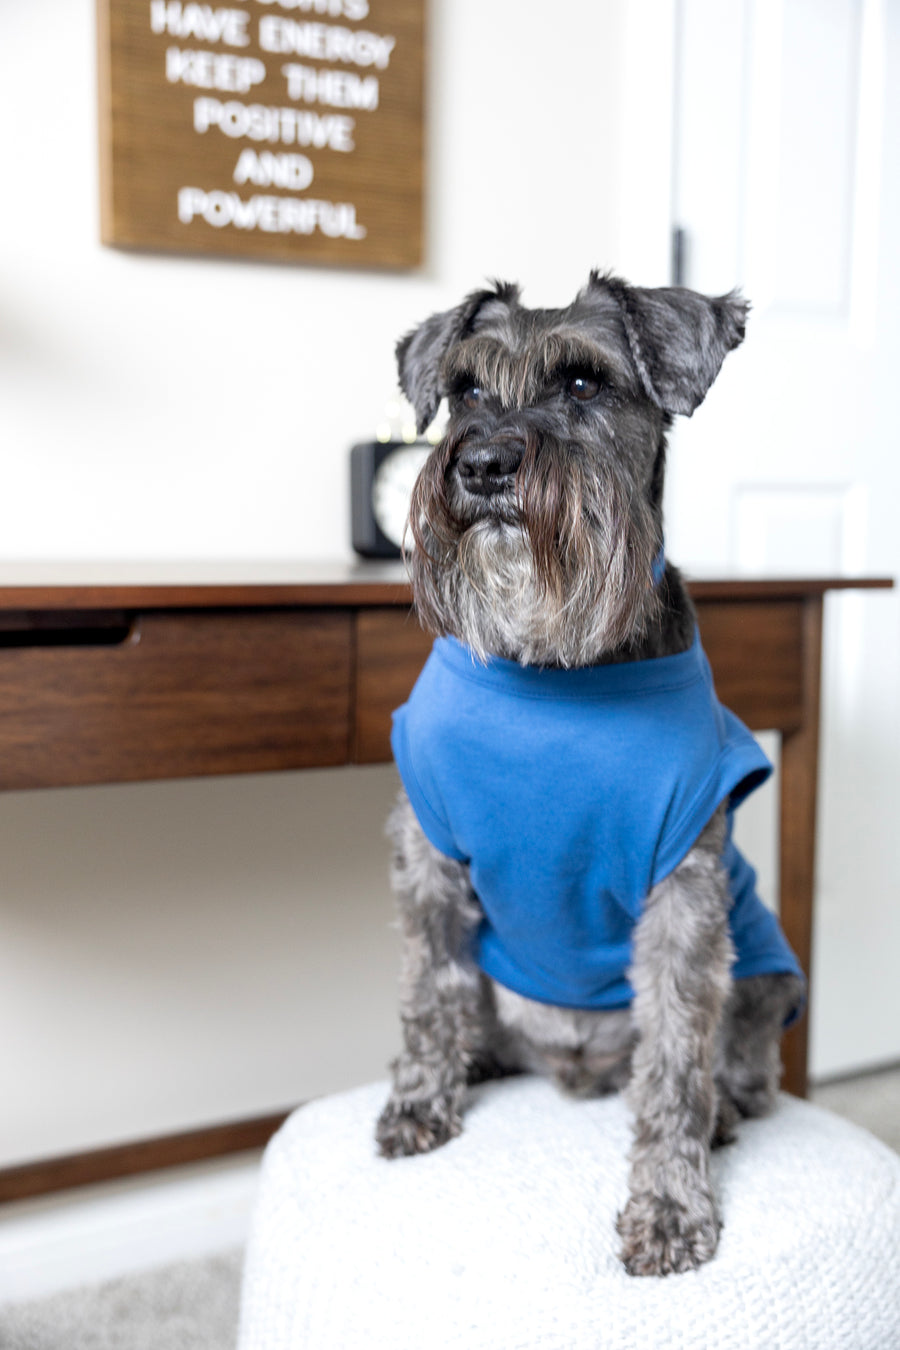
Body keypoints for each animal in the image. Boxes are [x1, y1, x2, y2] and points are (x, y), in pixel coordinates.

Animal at [377, 271, 804, 1274]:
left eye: (584, 383)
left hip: (769, 969)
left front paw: (672, 1207)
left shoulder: (686, 894)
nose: (483, 465)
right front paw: (418, 1101)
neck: (554, 669)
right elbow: (429, 989)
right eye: (466, 391)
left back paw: (723, 1117)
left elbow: (677, 1061)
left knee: (736, 1070)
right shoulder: (428, 858)